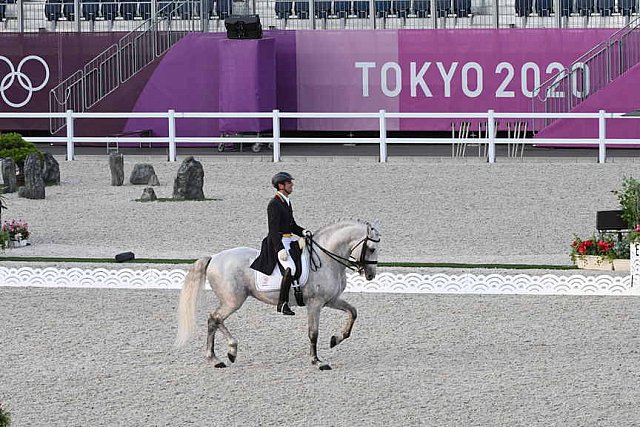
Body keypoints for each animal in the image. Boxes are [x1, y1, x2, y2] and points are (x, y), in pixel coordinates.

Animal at [175, 221, 380, 372]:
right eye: (371, 248)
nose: (371, 275)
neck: (327, 260)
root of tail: (214, 258)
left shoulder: (331, 300)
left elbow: (353, 312)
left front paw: (336, 339)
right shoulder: (315, 304)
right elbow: (313, 333)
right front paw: (318, 362)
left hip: (231, 300)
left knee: (214, 321)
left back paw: (219, 357)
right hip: (233, 301)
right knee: (214, 318)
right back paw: (226, 353)